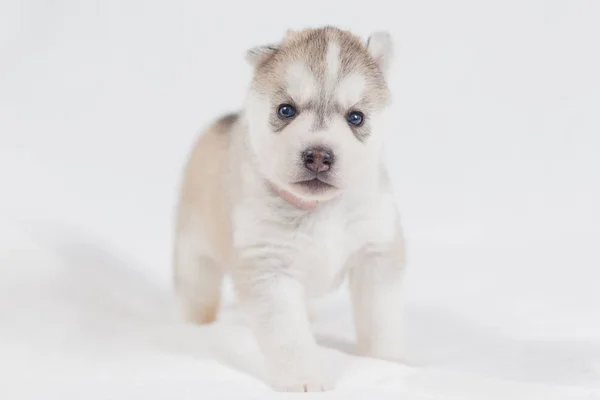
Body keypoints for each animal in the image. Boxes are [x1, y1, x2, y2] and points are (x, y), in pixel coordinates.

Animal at [173, 26, 408, 392]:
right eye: (286, 110)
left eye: (356, 117)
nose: (318, 156)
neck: (319, 209)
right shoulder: (268, 268)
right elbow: (290, 336)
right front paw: (304, 380)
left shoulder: (376, 250)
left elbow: (383, 318)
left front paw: (388, 363)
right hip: (194, 255)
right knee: (198, 292)